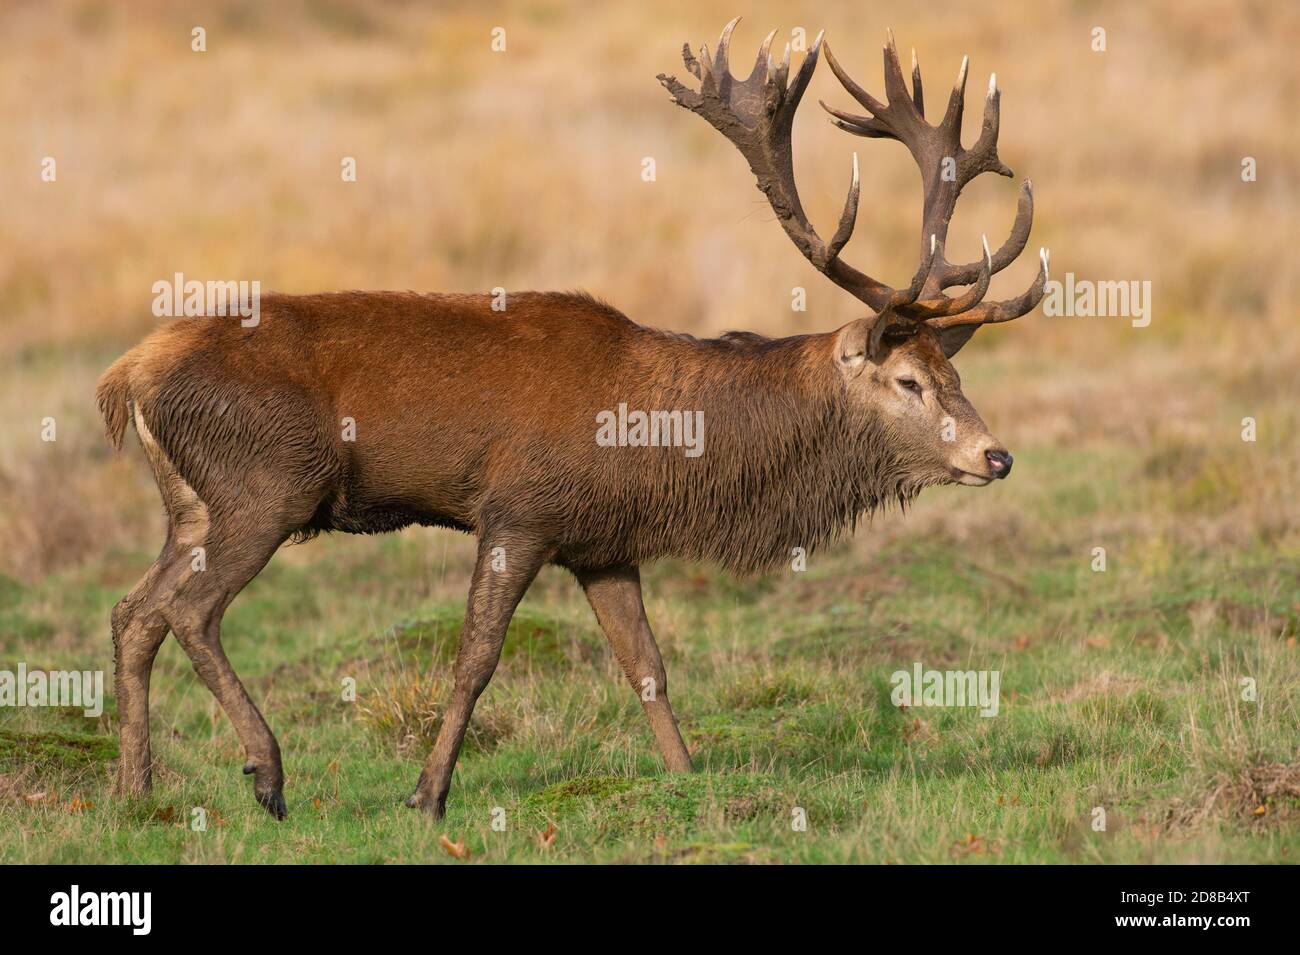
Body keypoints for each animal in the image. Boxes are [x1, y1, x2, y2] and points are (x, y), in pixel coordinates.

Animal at [97, 19, 1047, 820]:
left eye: (953, 370)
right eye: (908, 380)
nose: (997, 456)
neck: (656, 440)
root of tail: (128, 374)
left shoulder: (604, 539)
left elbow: (649, 667)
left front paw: (689, 782)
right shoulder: (520, 509)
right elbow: (477, 658)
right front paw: (427, 796)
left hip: (194, 504)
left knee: (135, 609)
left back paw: (137, 788)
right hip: (269, 481)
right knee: (191, 610)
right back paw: (267, 773)